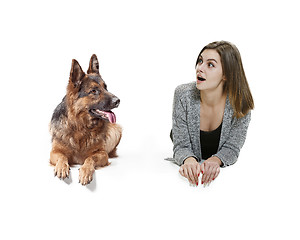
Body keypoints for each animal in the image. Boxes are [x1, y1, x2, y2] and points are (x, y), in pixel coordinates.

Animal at [49, 54, 122, 186]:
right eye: (94, 91)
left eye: (106, 87)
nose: (118, 101)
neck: (80, 126)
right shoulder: (54, 152)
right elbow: (62, 157)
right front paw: (61, 167)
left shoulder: (102, 154)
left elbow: (90, 158)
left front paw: (85, 171)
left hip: (117, 130)